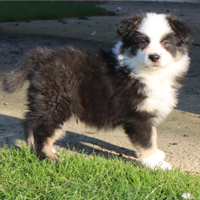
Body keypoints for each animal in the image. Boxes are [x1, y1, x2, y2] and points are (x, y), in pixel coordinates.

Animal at [1, 12, 191, 170]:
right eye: (143, 42)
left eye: (166, 43)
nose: (154, 57)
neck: (147, 73)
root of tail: (42, 56)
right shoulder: (138, 116)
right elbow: (146, 140)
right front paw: (156, 163)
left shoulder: (149, 110)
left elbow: (153, 135)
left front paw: (157, 156)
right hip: (56, 101)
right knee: (42, 127)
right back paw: (49, 158)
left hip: (45, 100)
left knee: (31, 122)